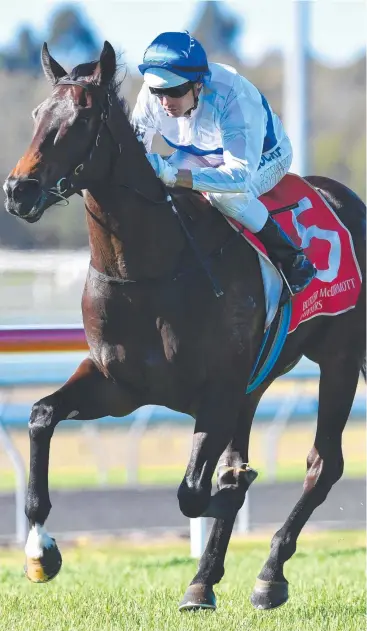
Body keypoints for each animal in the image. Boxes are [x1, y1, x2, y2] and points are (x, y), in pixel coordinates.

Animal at [3, 40, 367, 612]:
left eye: (81, 118)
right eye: (39, 114)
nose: (19, 190)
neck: (150, 270)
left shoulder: (216, 393)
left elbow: (195, 492)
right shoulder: (119, 385)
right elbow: (41, 416)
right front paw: (41, 551)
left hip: (340, 359)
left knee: (322, 464)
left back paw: (269, 574)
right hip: (257, 381)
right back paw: (206, 578)